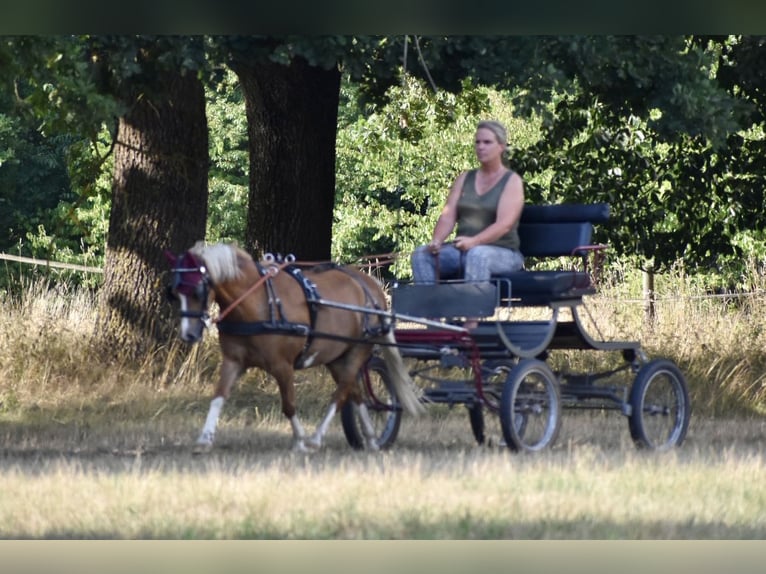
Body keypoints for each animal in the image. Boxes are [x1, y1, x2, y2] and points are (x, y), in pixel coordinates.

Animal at [165, 241, 423, 452]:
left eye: (197, 290)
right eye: (174, 292)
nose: (188, 334)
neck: (259, 301)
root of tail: (371, 284)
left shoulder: (283, 365)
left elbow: (289, 405)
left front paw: (299, 441)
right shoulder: (233, 361)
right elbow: (218, 396)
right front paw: (204, 439)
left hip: (358, 350)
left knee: (341, 394)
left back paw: (316, 439)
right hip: (337, 357)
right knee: (356, 392)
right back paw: (371, 438)